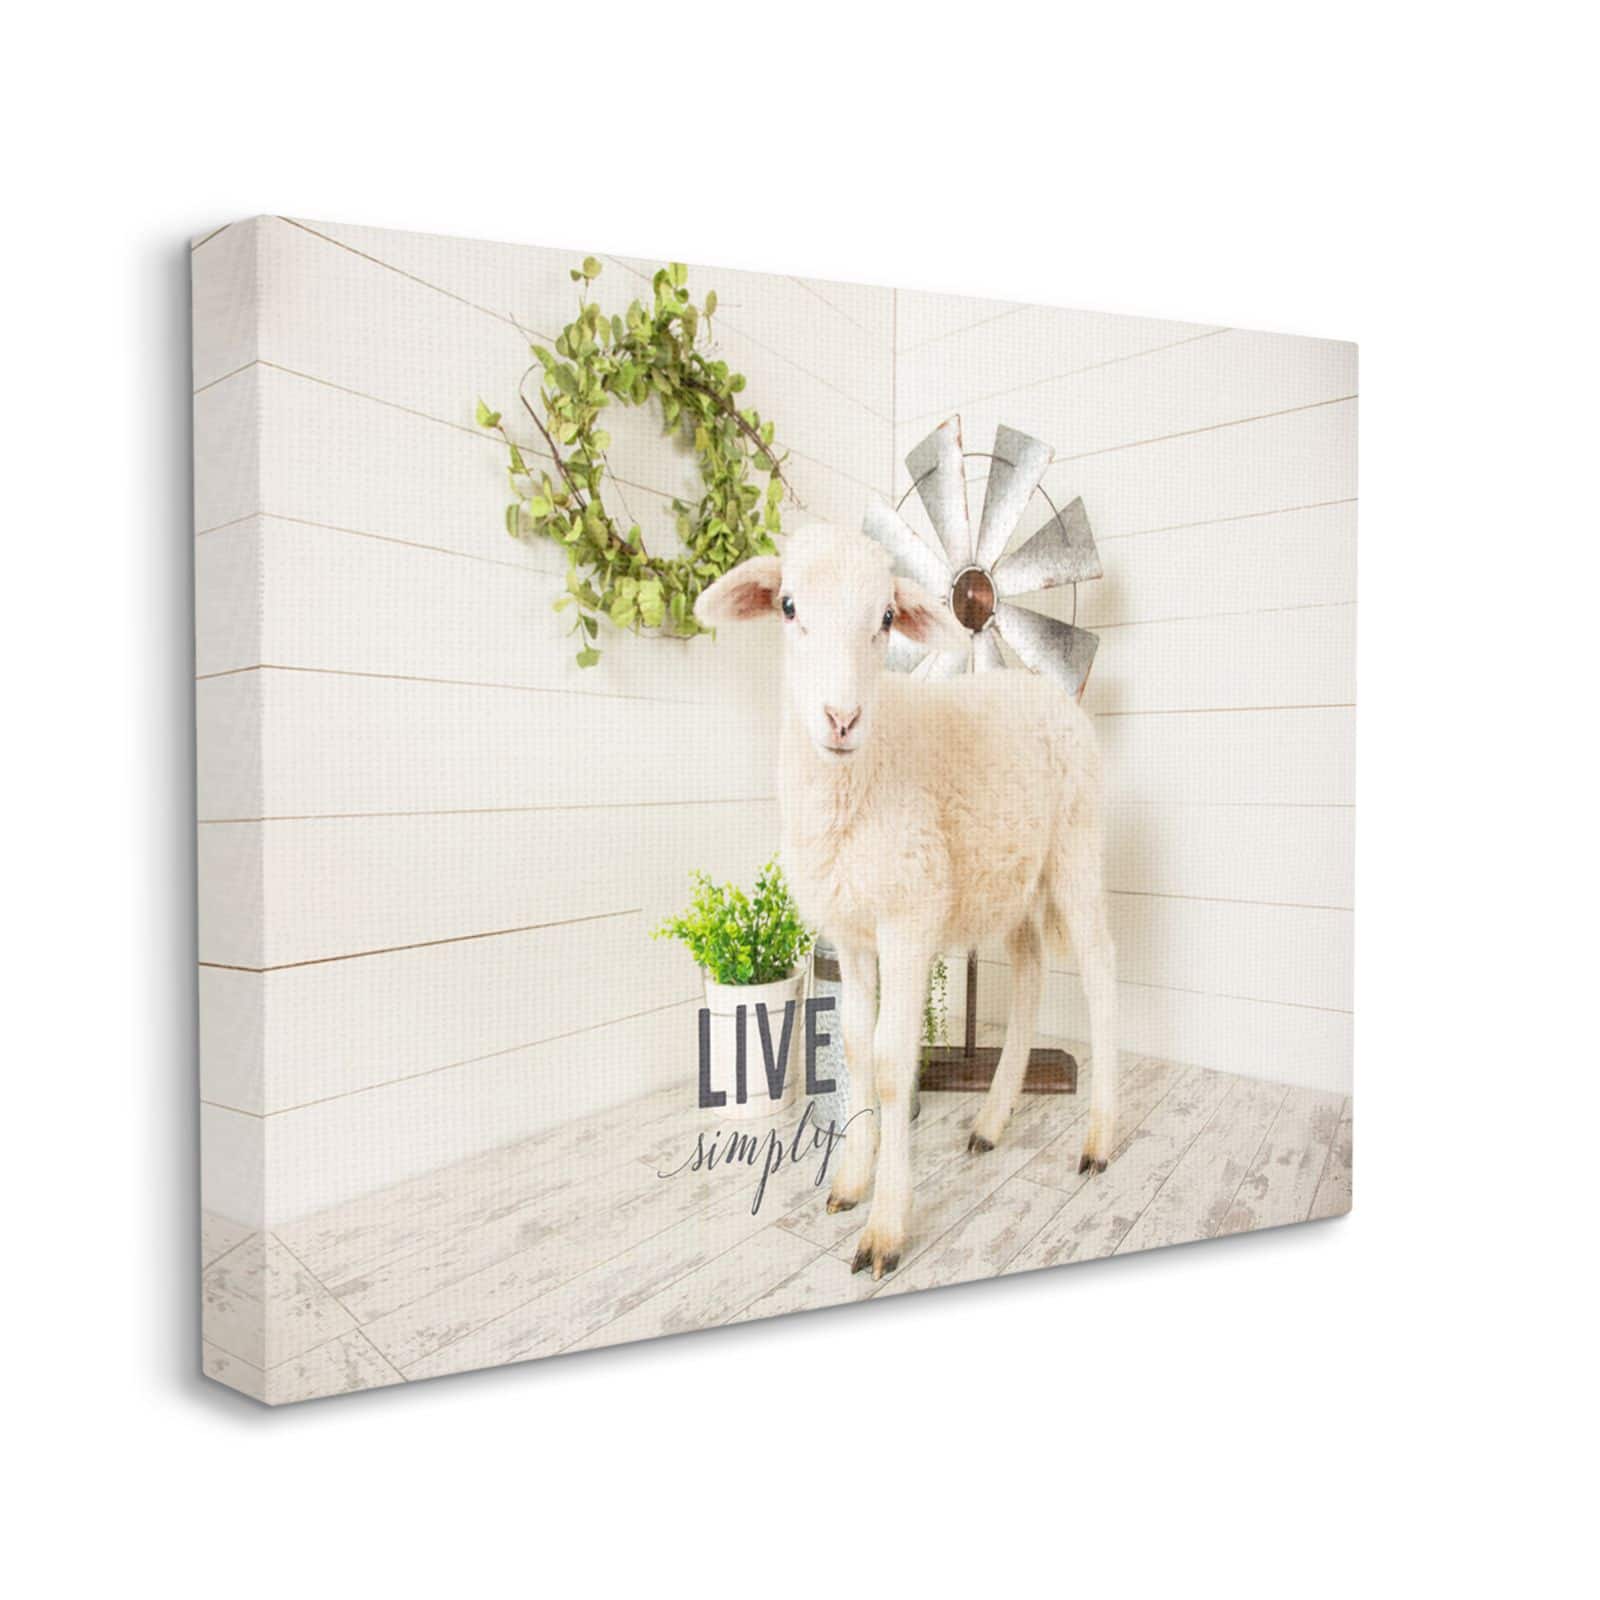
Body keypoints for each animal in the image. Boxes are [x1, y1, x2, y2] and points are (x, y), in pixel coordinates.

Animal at [695, 522, 1118, 1279]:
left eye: (888, 617)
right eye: (788, 607)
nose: (841, 718)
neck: (857, 779)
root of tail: (1043, 688)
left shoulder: (907, 918)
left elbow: (894, 1067)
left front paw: (886, 1224)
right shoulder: (852, 929)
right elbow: (858, 1053)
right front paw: (850, 1183)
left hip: (1075, 847)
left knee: (1100, 974)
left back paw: (1099, 1140)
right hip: (1011, 876)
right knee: (1031, 969)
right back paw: (991, 1120)